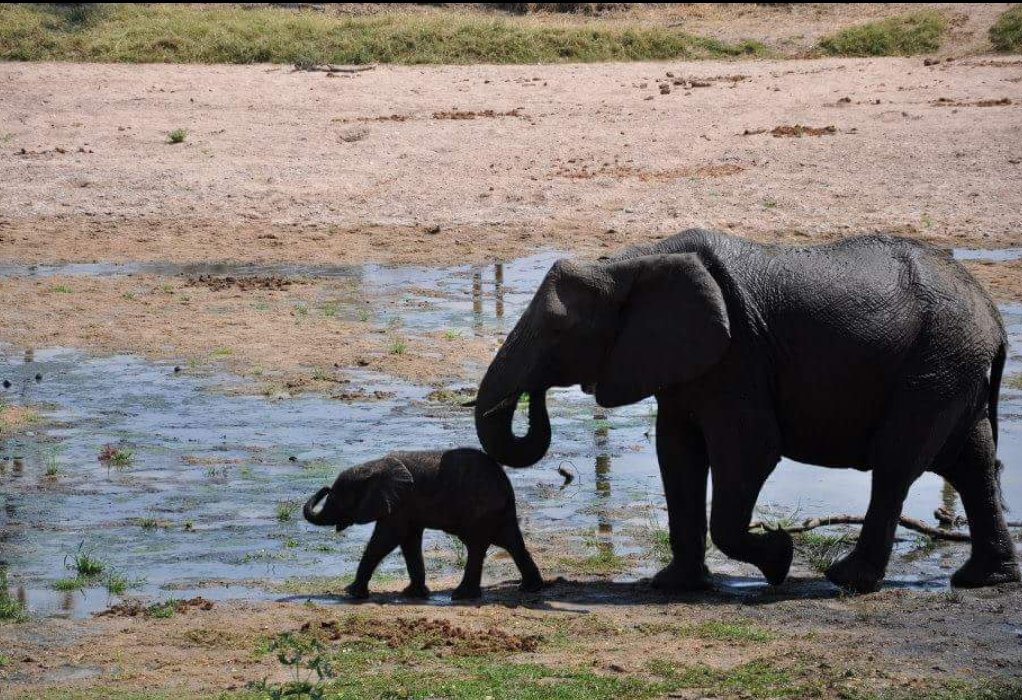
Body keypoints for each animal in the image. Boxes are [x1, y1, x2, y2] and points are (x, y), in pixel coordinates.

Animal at [303, 448, 544, 600]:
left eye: (336, 500)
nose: (325, 488)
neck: (374, 466)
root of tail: (506, 482)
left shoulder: (400, 503)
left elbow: (386, 539)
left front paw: (351, 592)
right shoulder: (406, 507)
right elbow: (409, 541)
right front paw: (414, 594)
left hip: (481, 509)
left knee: (476, 545)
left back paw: (461, 596)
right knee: (510, 542)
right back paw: (530, 589)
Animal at [474, 228, 1020, 593]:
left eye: (559, 330)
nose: (533, 395)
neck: (627, 263)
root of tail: (993, 318)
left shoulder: (737, 357)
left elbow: (749, 451)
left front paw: (779, 559)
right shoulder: (685, 360)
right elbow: (676, 453)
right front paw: (674, 585)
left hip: (935, 365)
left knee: (896, 464)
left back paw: (846, 579)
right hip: (951, 368)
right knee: (971, 462)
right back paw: (981, 579)